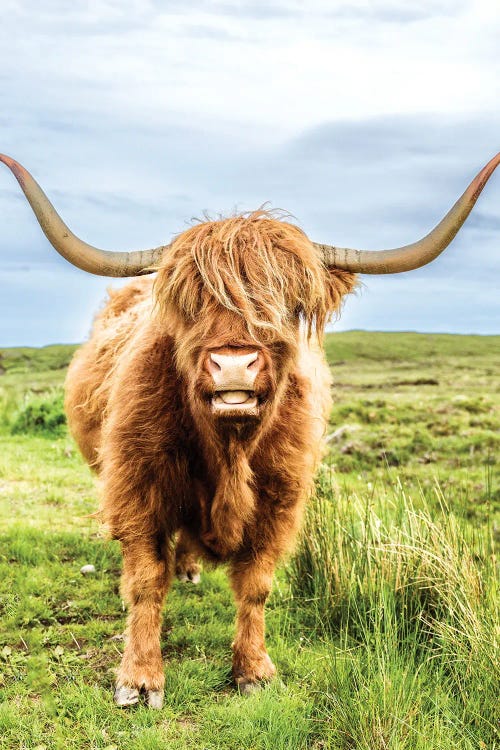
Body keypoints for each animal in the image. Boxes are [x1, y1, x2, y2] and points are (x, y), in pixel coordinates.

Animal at [0, 154, 498, 712]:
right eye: (191, 302)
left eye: (285, 303)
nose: (234, 364)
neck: (229, 450)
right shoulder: (137, 486)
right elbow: (146, 580)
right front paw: (141, 678)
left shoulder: (281, 497)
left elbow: (257, 584)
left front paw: (254, 670)